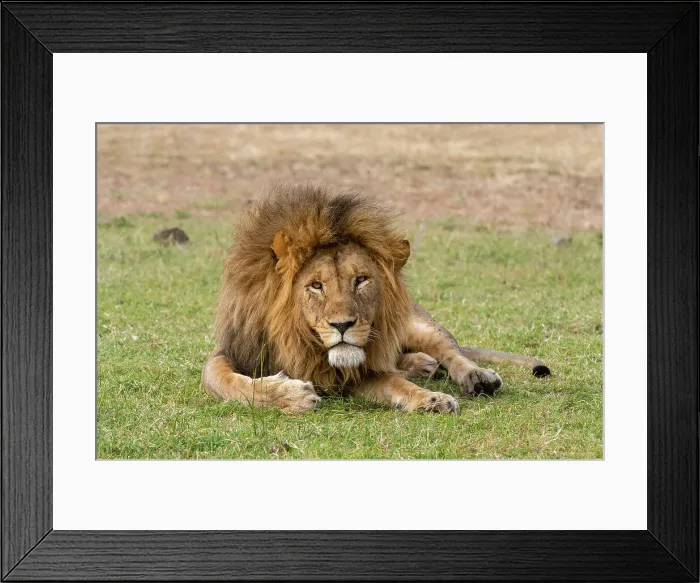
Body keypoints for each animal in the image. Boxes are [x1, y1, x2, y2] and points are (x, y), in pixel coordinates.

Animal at [202, 184, 550, 414]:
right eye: (316, 286)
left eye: (361, 280)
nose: (343, 325)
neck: (298, 340)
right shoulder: (234, 349)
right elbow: (223, 380)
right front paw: (290, 396)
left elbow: (396, 384)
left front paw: (431, 399)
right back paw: (420, 365)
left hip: (415, 323)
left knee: (450, 351)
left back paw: (475, 376)